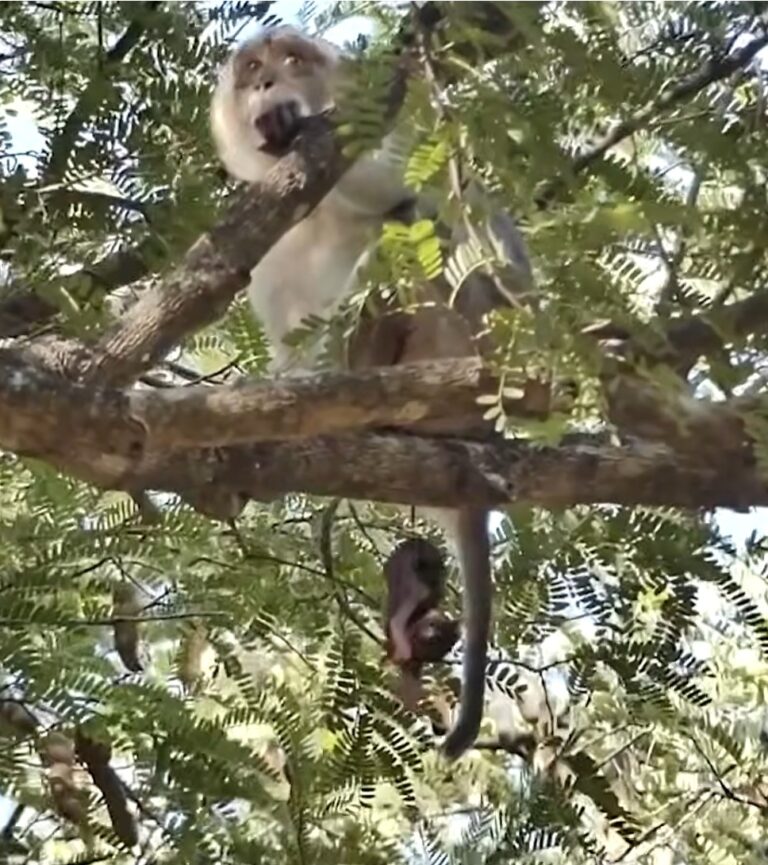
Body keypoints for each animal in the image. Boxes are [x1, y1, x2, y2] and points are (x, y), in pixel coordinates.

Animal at [211, 25, 535, 758]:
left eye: (291, 61)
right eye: (252, 69)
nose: (269, 85)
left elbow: (419, 189)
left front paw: (302, 126)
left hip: (469, 348)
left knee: (416, 221)